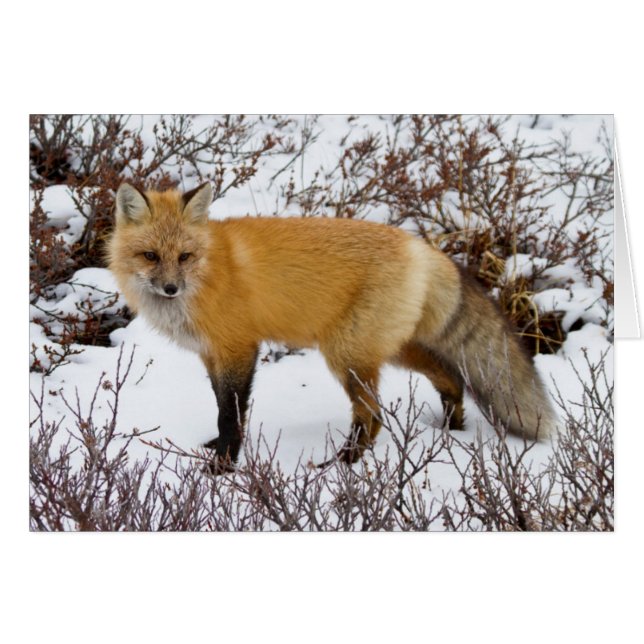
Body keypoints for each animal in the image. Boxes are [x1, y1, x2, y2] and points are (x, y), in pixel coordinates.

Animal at [107, 182, 556, 472]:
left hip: (347, 356)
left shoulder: (239, 348)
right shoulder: (212, 354)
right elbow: (223, 407)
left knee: (372, 415)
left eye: (184, 256)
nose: (170, 288)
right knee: (449, 376)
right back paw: (451, 428)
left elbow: (231, 414)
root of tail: (423, 247)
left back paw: (345, 464)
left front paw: (223, 467)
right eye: (150, 256)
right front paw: (218, 450)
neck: (209, 273)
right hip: (388, 349)